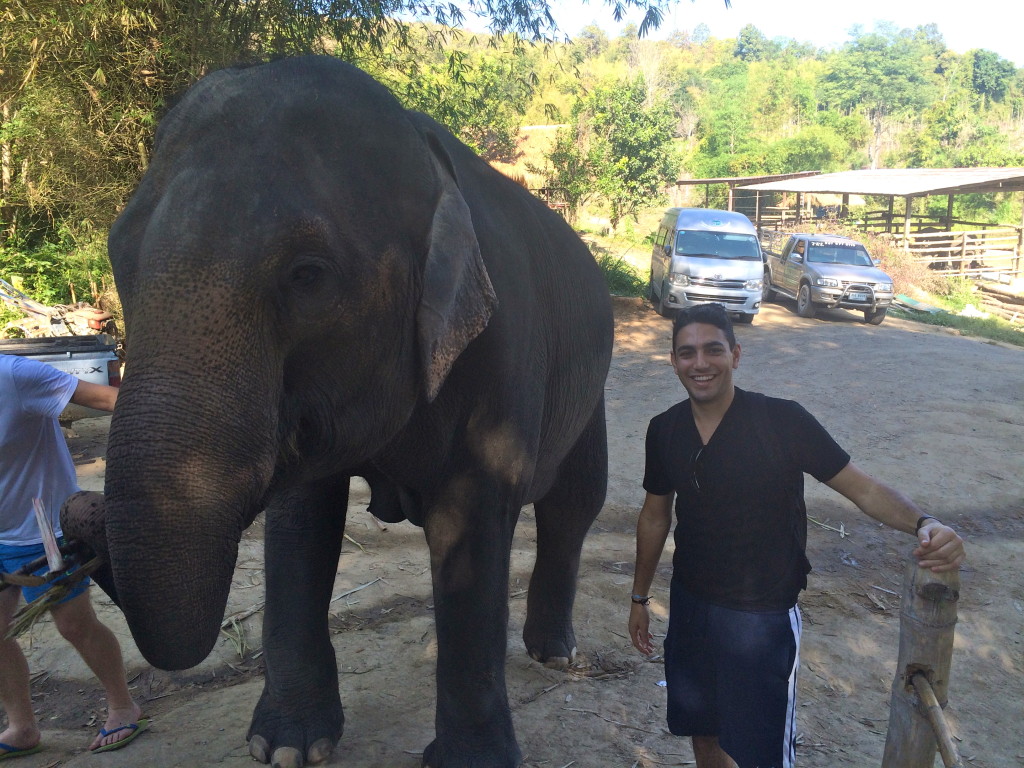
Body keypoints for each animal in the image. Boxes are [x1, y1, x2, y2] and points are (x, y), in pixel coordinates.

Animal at [68, 55, 610, 768]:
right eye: (118, 254)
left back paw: (555, 654)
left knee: (575, 503)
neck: (427, 154)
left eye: (307, 275)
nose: (81, 516)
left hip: (592, 390)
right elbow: (302, 521)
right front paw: (286, 748)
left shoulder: (502, 354)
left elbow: (471, 522)